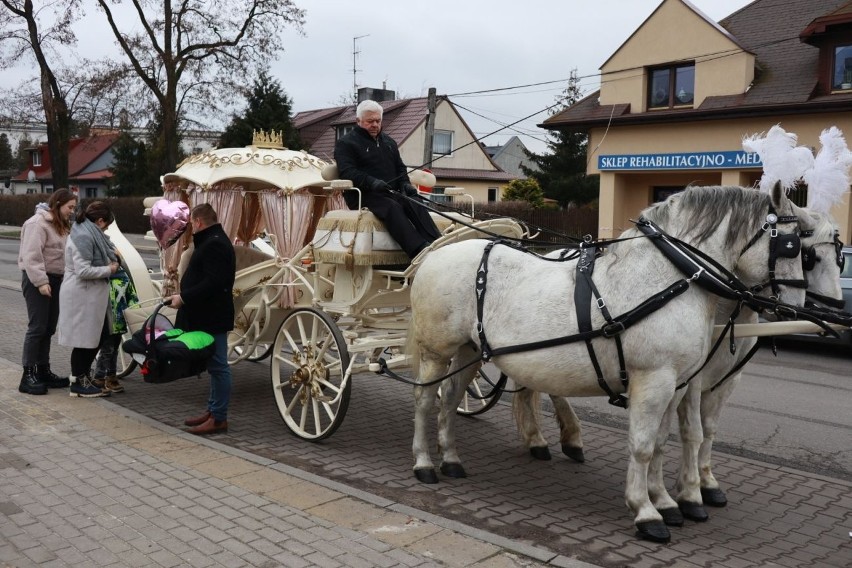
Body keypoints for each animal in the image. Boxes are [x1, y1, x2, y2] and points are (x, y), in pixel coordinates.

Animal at [410, 184, 808, 544]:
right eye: (793, 244)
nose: (795, 307)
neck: (668, 278)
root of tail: (434, 255)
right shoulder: (653, 380)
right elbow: (643, 444)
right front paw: (645, 511)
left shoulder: (676, 384)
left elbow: (661, 442)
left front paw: (665, 501)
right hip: (436, 353)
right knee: (426, 402)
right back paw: (425, 463)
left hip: (468, 350)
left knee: (450, 399)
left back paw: (451, 459)